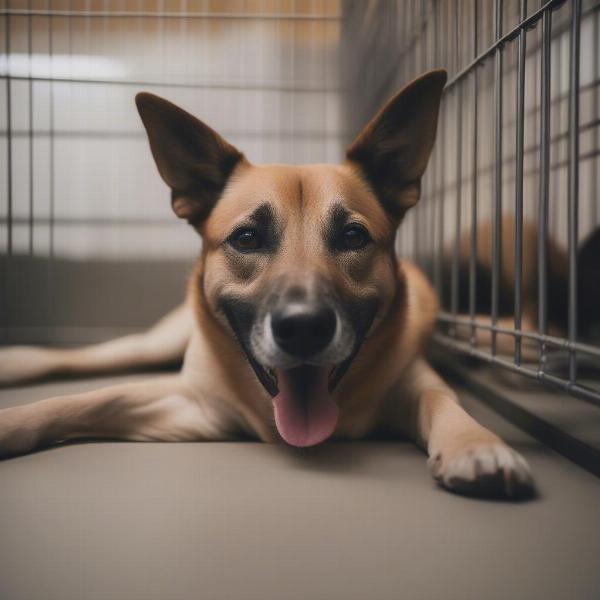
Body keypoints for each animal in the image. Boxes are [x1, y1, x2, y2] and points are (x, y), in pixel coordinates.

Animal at [0, 70, 536, 500]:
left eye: (353, 236)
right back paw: (19, 359)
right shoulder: (192, 402)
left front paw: (476, 443)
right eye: (247, 237)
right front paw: (12, 422)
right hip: (153, 344)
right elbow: (89, 398)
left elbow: (442, 401)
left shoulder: (416, 381)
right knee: (87, 359)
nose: (303, 329)